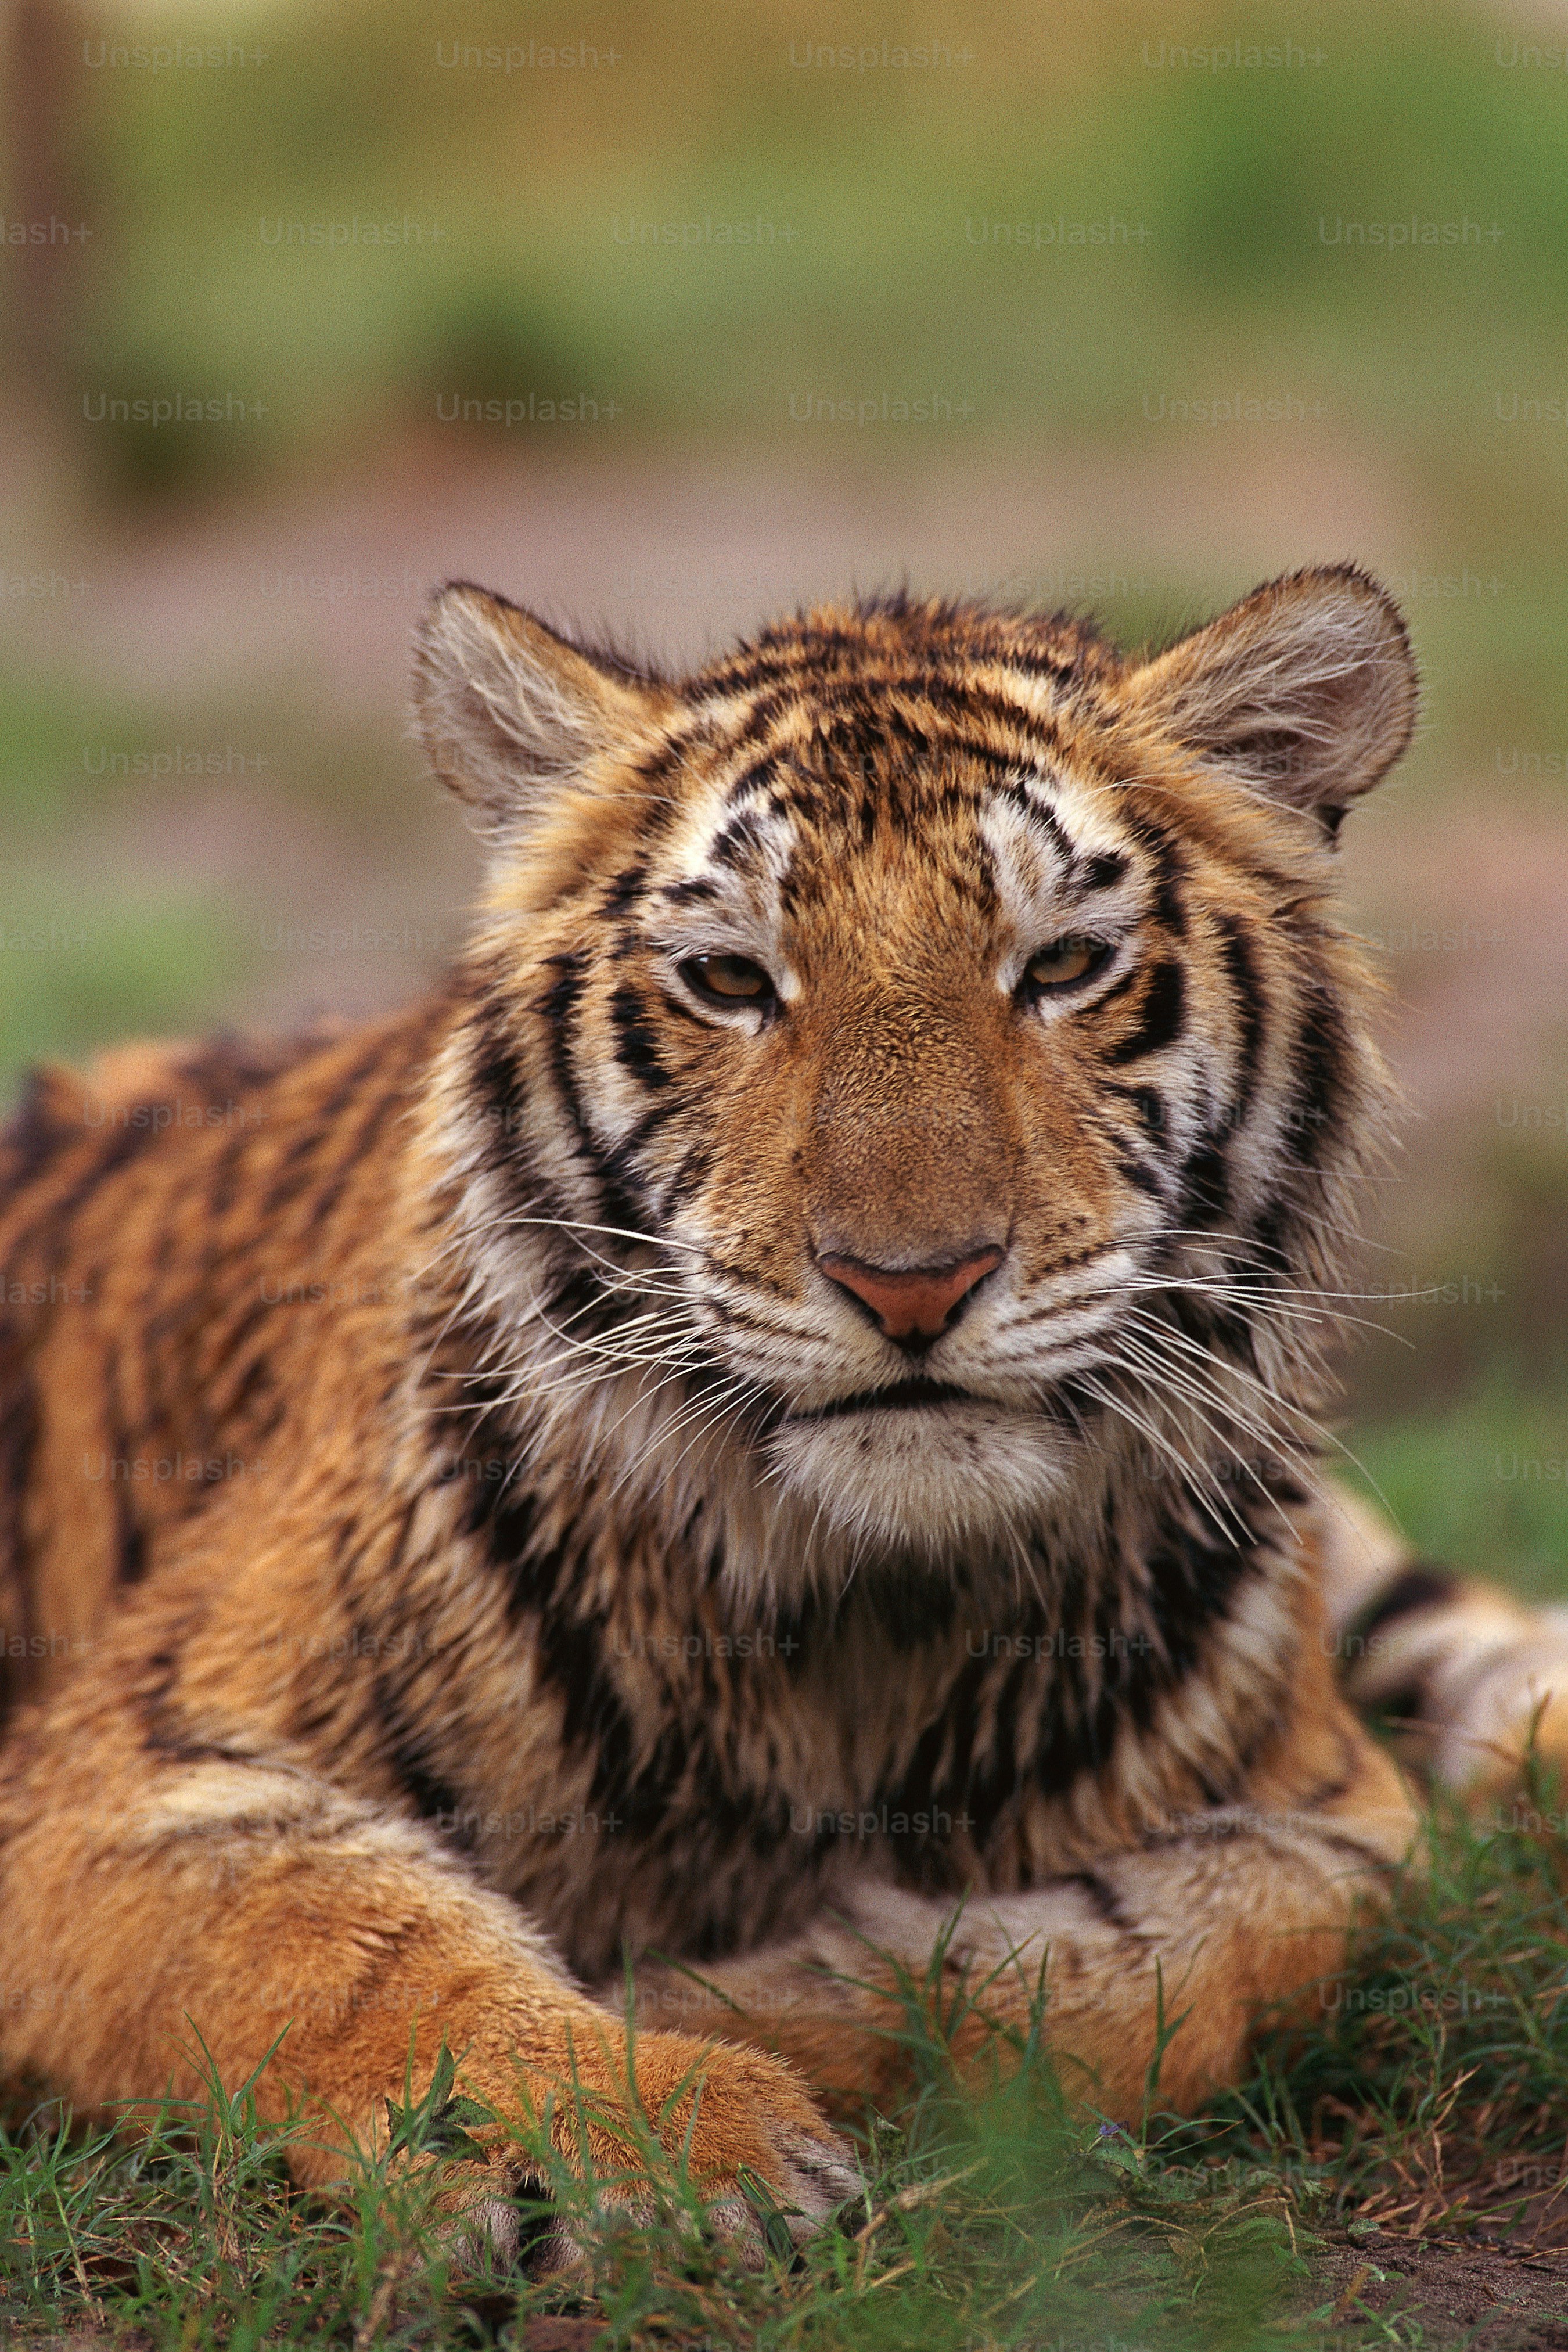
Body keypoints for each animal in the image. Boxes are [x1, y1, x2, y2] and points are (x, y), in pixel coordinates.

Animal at [1, 564, 1563, 2264]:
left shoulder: (1324, 1817)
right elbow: (346, 1944)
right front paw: (653, 2129)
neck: (862, 1626)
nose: (910, 1283)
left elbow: (1147, 1962)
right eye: (731, 980)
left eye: (1061, 967)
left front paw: (726, 2010)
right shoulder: (108, 1776)